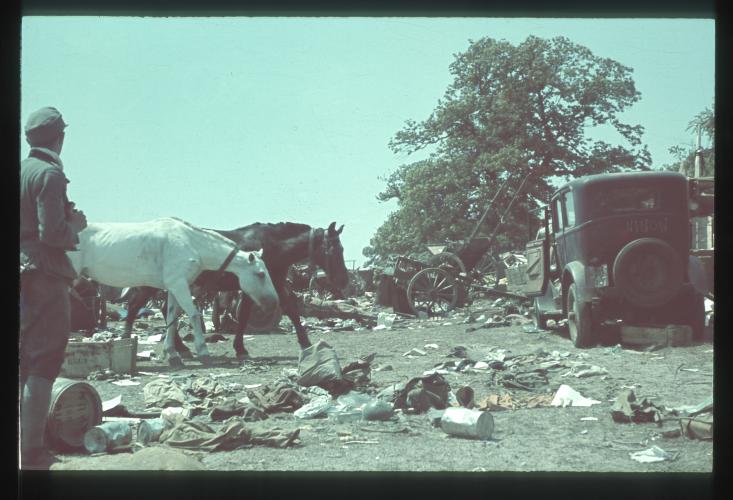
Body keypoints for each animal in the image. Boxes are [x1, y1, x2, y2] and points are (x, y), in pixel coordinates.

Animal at [67, 217, 278, 366]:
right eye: (261, 274)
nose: (273, 303)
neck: (190, 243)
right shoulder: (179, 284)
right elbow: (193, 315)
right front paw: (203, 353)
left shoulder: (173, 287)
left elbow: (171, 319)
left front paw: (172, 354)